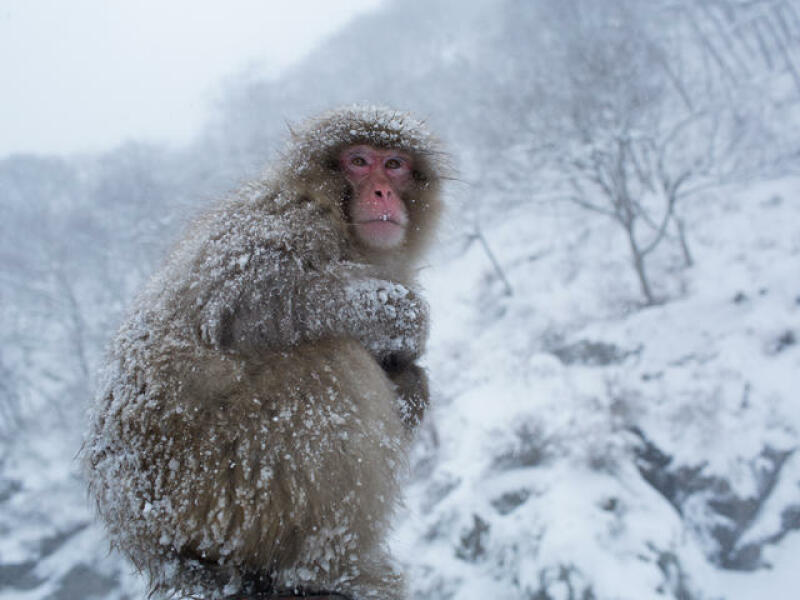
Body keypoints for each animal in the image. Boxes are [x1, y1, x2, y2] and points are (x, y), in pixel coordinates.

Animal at [81, 106, 446, 600]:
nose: (381, 191)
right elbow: (250, 304)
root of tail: (150, 545)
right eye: (358, 160)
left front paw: (405, 369)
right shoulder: (284, 221)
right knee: (330, 364)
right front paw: (402, 316)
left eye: (394, 165)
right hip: (221, 486)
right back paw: (328, 570)